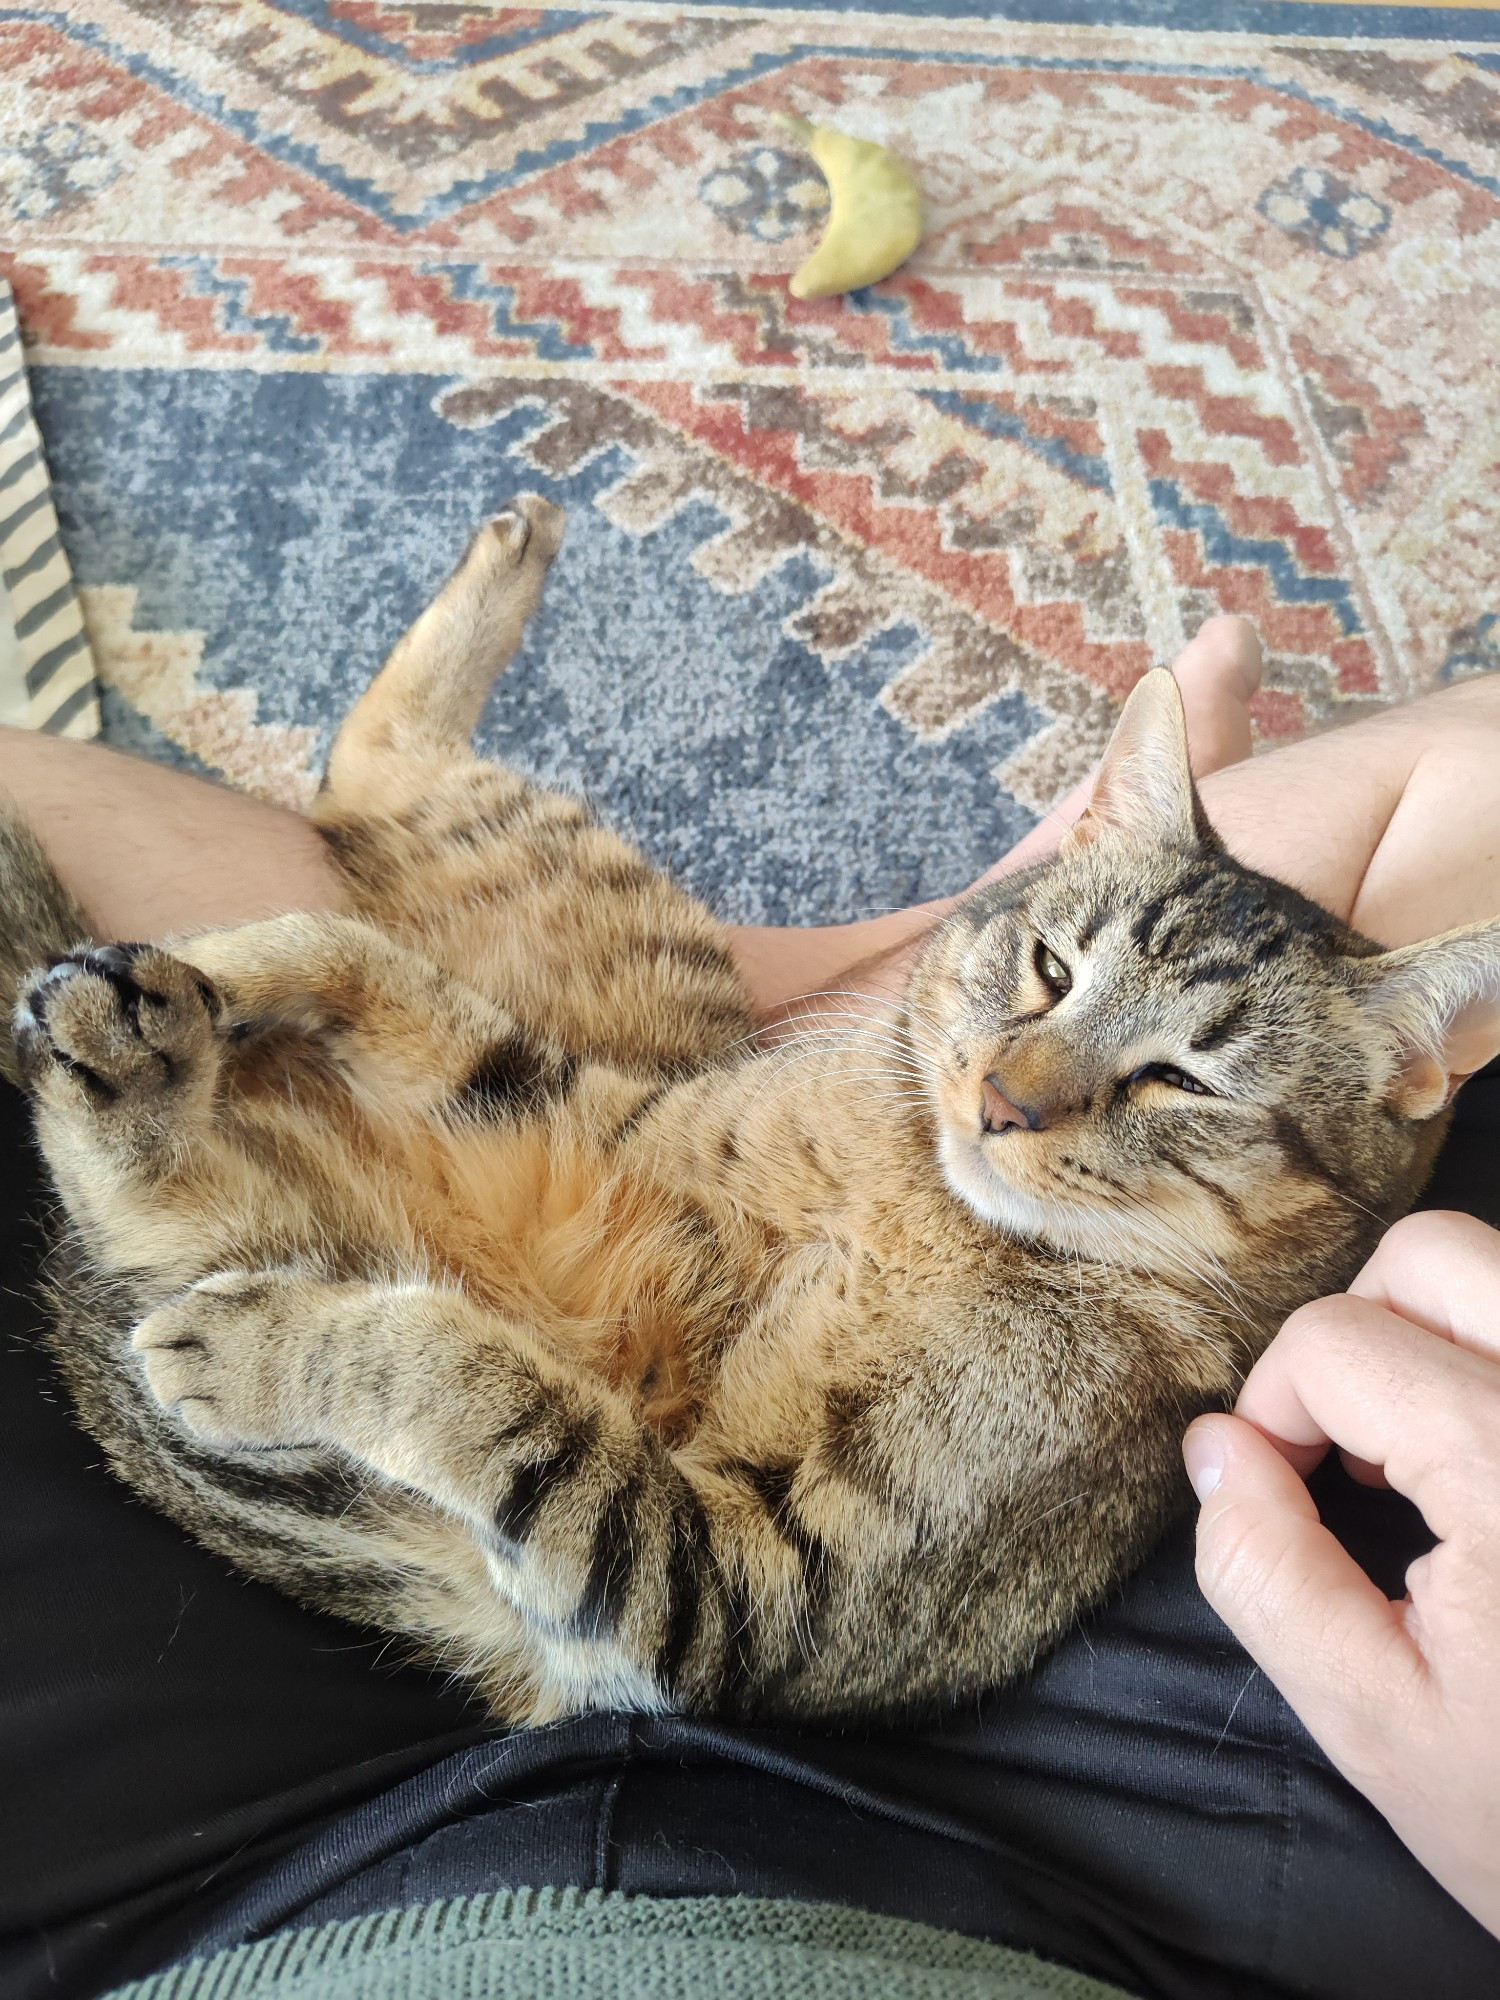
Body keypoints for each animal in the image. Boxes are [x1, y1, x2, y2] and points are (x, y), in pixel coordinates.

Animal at [5, 496, 1496, 1720]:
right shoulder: (603, 1120)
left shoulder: (728, 1585)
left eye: (1182, 1079)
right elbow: (366, 967)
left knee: (161, 1179)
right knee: (362, 794)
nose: (1003, 1102)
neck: (927, 1211)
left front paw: (270, 1342)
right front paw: (236, 963)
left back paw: (126, 1059)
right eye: (1050, 969)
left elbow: (480, 1383)